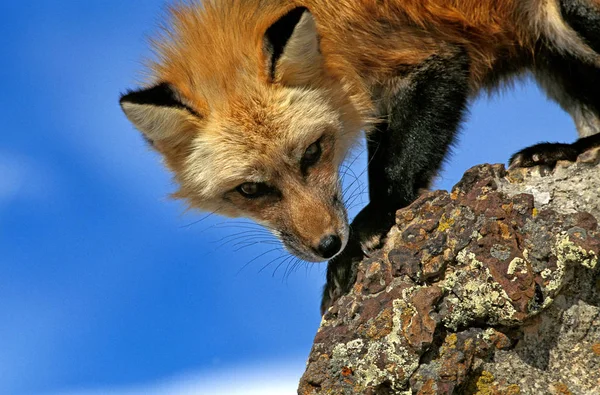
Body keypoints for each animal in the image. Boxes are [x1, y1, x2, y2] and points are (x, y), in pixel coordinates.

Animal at [119, 0, 596, 316]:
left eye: (313, 152)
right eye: (251, 189)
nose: (328, 245)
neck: (334, 37)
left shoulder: (428, 59)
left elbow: (394, 167)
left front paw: (372, 226)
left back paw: (570, 151)